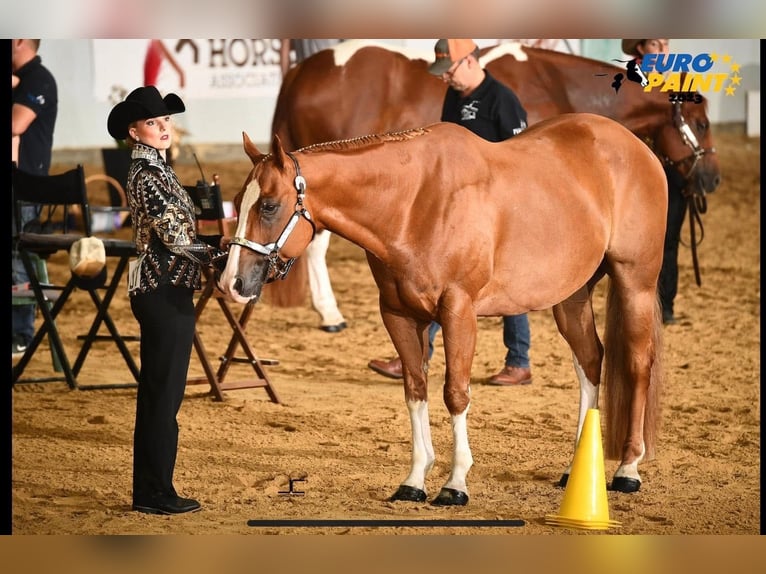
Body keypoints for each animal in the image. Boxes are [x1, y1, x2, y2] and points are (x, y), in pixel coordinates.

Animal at [272, 40, 724, 326]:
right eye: (701, 124)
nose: (712, 177)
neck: (551, 83)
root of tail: (299, 72)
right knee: (315, 247)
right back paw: (331, 314)